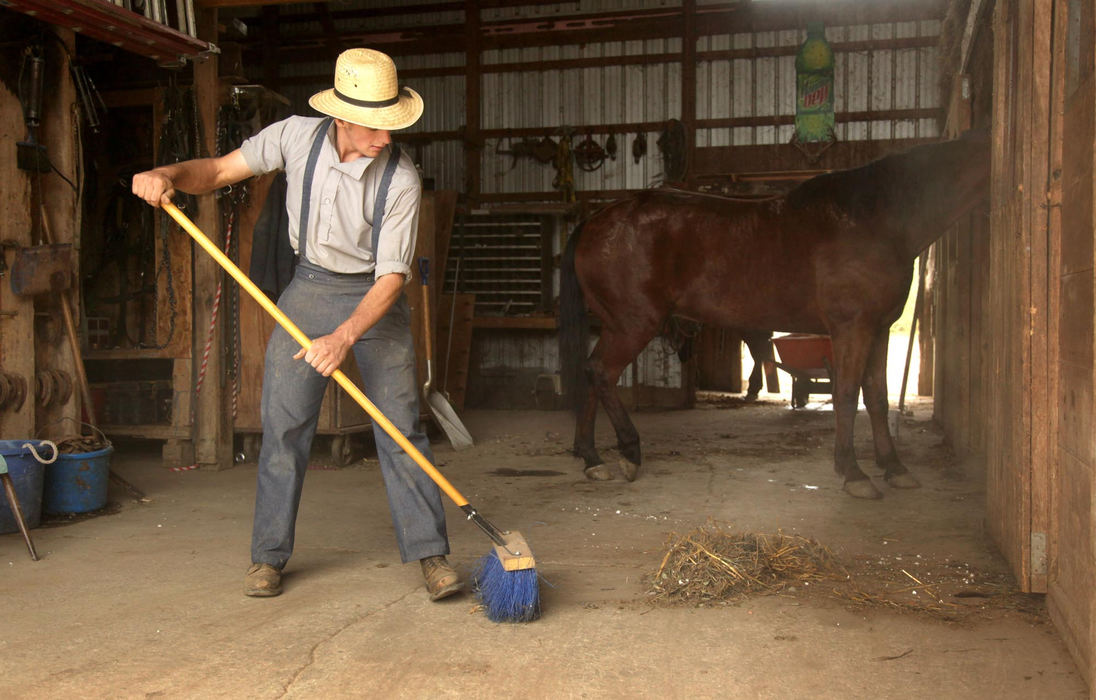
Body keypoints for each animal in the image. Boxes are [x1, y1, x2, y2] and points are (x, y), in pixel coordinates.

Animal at [561, 130, 990, 499]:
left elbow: (878, 397)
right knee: (603, 373)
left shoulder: (879, 329)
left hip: (617, 325)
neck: (876, 218)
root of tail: (594, 221)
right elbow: (847, 394)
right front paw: (853, 473)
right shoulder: (852, 329)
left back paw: (592, 459)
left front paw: (894, 468)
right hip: (634, 324)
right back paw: (629, 452)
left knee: (593, 374)